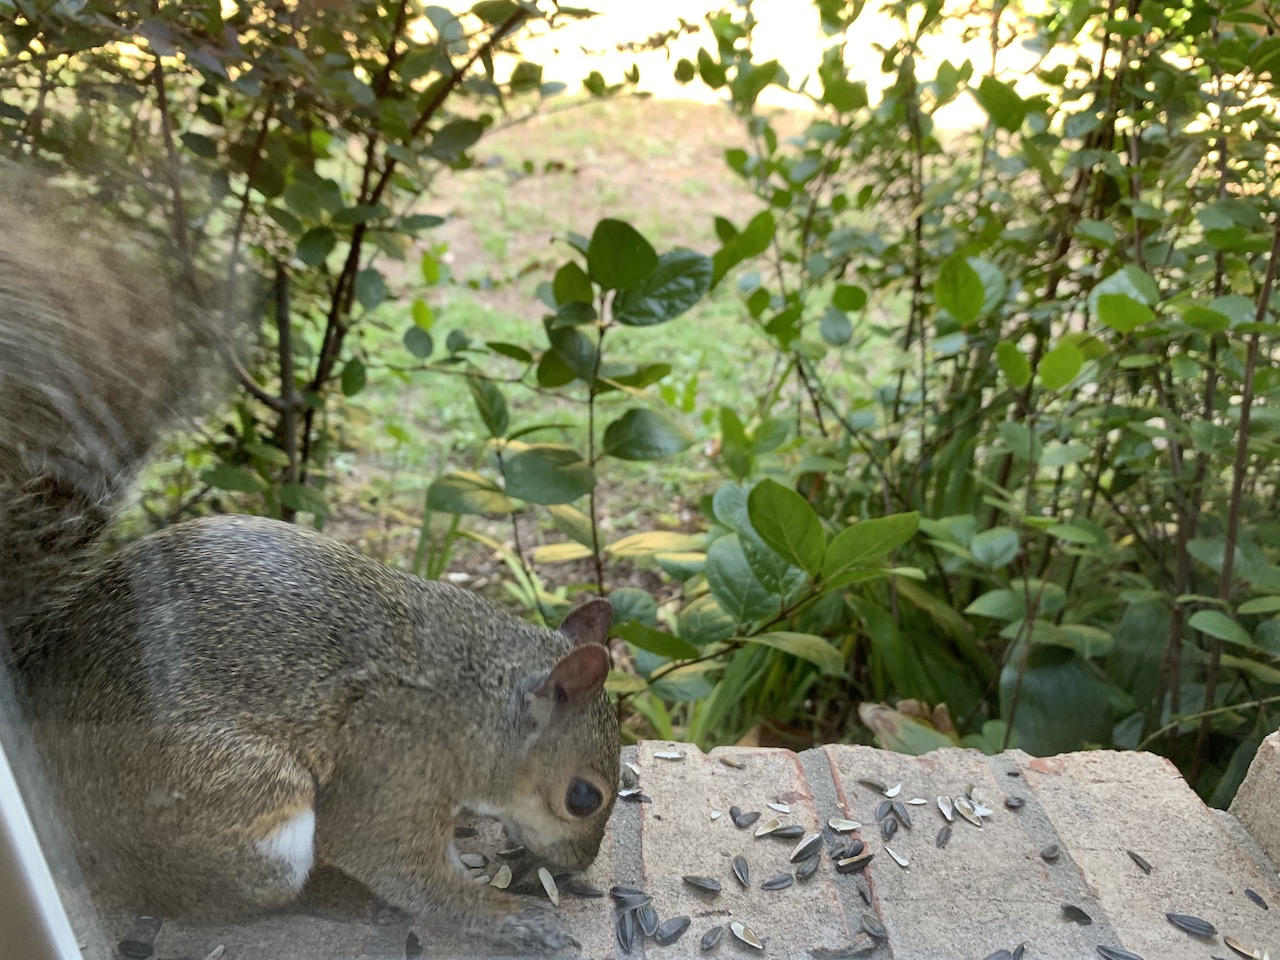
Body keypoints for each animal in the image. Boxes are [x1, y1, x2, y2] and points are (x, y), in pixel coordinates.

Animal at [0, 167, 620, 955]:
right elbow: (405, 868)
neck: (480, 702)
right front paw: (511, 917)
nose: (579, 864)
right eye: (583, 797)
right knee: (211, 896)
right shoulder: (394, 773)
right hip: (248, 808)